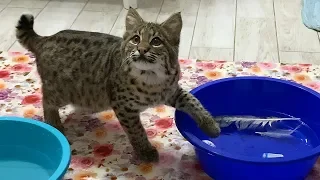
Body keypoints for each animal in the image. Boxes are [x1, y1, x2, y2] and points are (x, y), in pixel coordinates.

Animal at [15, 8, 220, 162]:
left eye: (156, 41)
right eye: (136, 39)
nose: (142, 50)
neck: (151, 76)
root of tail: (47, 38)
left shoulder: (172, 90)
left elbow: (193, 101)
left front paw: (210, 125)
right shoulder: (124, 107)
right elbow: (137, 130)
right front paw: (146, 151)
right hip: (62, 91)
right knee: (45, 98)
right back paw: (54, 123)